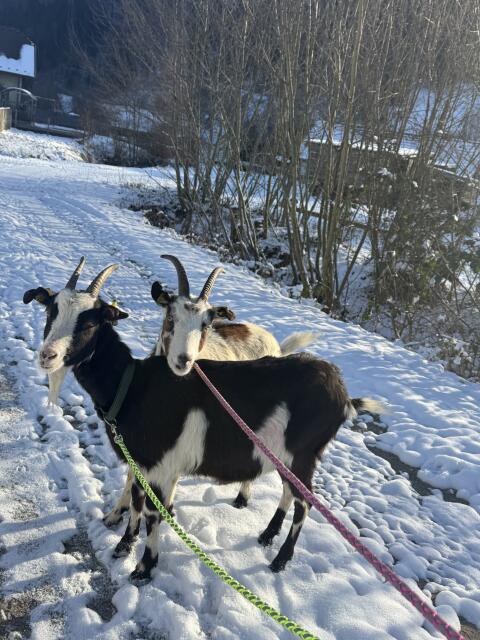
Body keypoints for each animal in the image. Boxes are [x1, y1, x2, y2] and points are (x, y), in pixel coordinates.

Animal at [24, 259, 383, 582]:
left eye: (91, 322)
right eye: (51, 311)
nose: (47, 356)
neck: (132, 386)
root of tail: (344, 396)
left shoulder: (160, 466)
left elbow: (152, 512)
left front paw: (144, 568)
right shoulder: (142, 465)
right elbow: (137, 502)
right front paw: (124, 544)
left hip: (303, 455)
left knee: (304, 503)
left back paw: (280, 560)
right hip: (286, 456)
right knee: (289, 492)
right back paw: (267, 534)